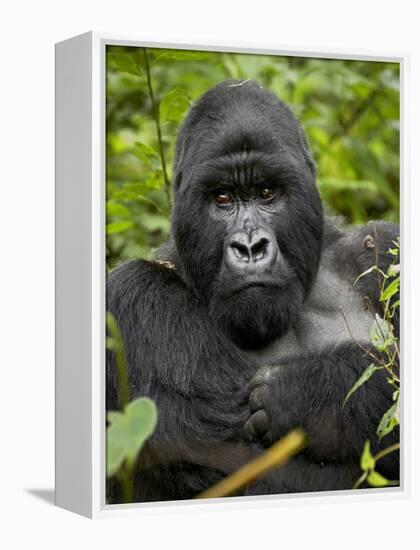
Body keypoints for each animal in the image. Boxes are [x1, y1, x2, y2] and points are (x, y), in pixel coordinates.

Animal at [106, 78, 400, 504]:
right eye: (223, 198)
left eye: (266, 193)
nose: (249, 247)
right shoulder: (135, 298)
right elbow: (241, 469)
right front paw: (341, 394)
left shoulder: (384, 247)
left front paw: (313, 394)